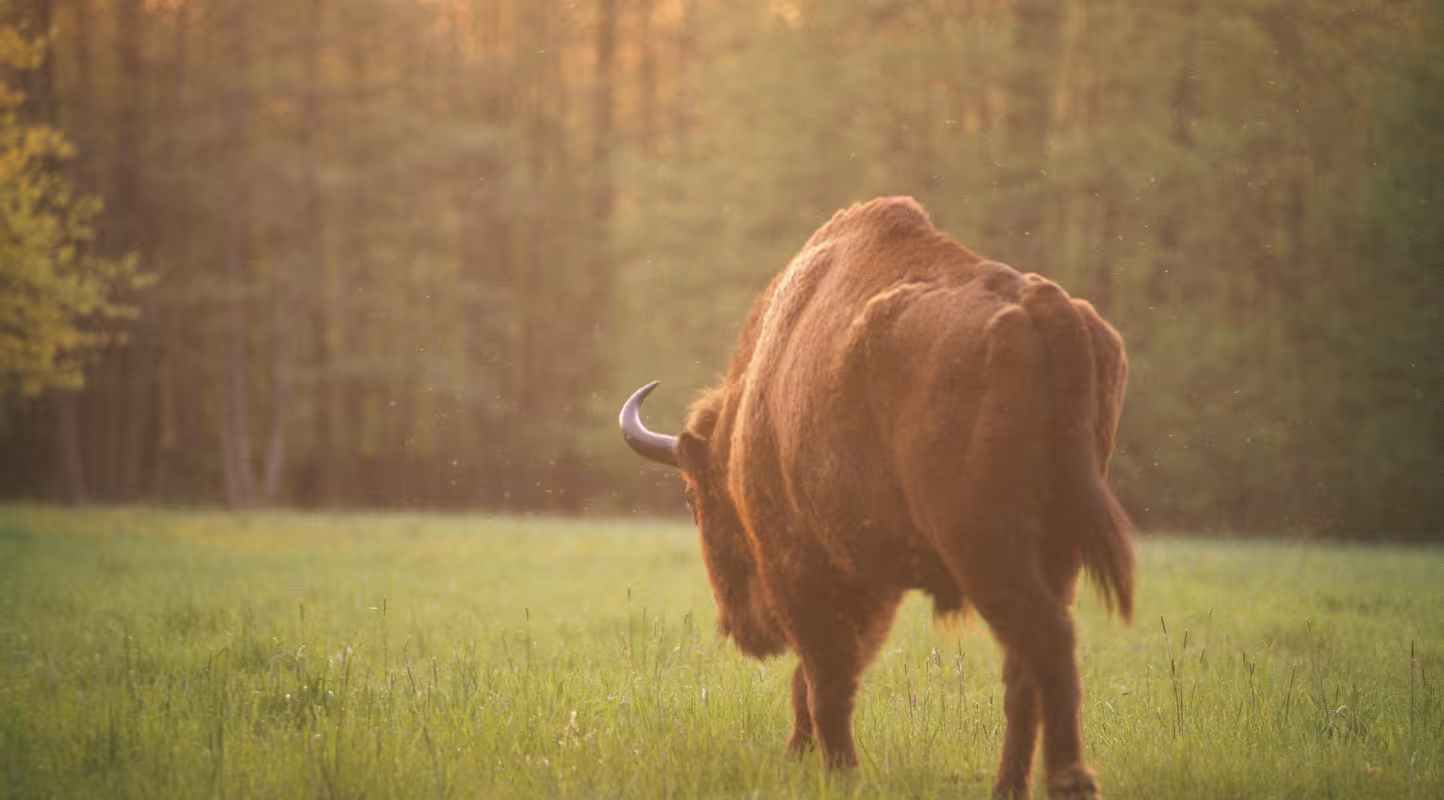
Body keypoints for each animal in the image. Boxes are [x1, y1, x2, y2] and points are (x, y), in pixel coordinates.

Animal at [620, 197, 1134, 799]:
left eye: (694, 497)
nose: (739, 628)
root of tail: (1041, 304)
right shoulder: (870, 582)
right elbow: (825, 675)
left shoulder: (806, 568)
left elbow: (825, 677)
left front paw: (838, 771)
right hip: (1057, 553)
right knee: (1023, 672)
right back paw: (1008, 786)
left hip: (984, 550)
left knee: (1046, 641)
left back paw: (1068, 781)